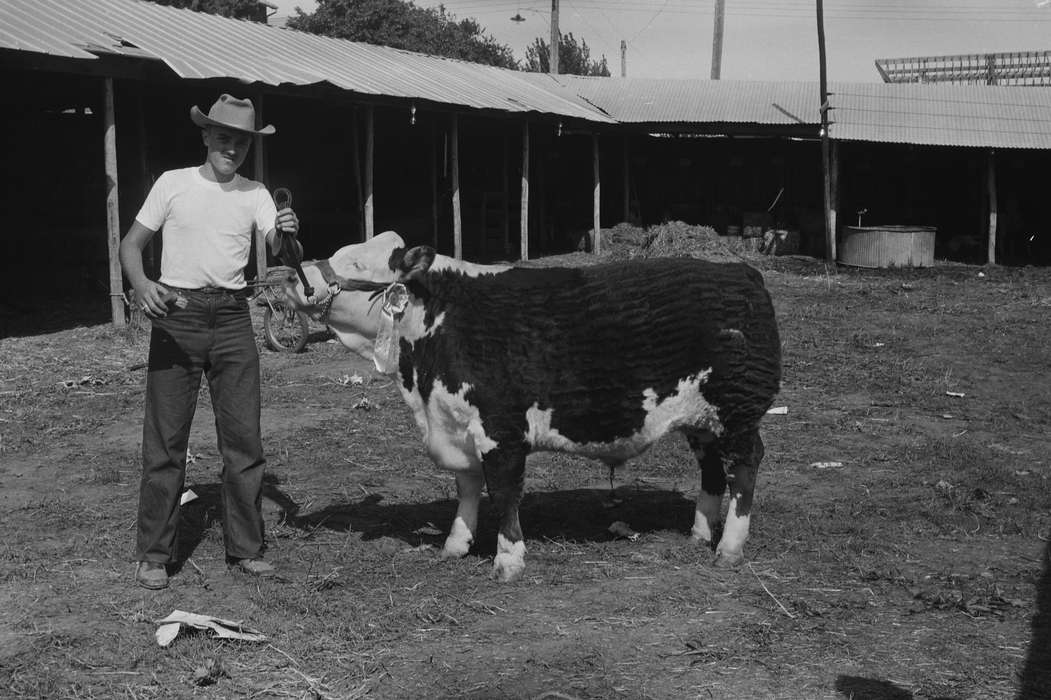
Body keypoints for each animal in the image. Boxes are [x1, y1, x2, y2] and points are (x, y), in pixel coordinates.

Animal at [277, 231, 781, 582]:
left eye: (356, 261)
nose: (291, 276)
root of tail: (742, 274)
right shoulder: (457, 423)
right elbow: (467, 488)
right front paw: (456, 544)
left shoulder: (500, 429)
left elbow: (504, 493)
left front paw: (508, 559)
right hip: (702, 420)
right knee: (712, 471)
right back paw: (699, 534)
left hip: (739, 411)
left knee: (745, 468)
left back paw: (729, 547)